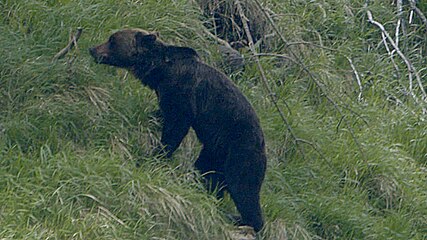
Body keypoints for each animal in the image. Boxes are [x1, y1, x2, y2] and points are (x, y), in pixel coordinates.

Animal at [88, 29, 266, 232]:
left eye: (112, 40)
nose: (92, 49)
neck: (160, 72)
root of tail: (263, 146)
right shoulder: (165, 93)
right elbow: (161, 114)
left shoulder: (182, 92)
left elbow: (176, 127)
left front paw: (156, 154)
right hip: (215, 152)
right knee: (208, 173)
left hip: (240, 151)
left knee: (243, 188)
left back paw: (244, 220)